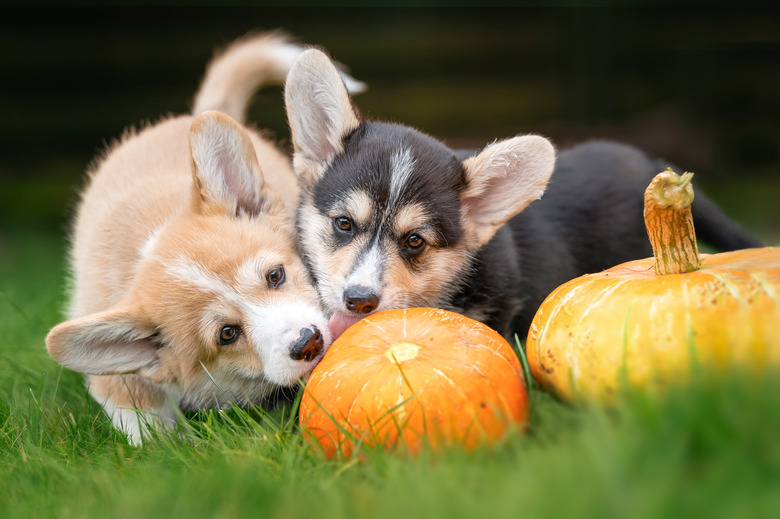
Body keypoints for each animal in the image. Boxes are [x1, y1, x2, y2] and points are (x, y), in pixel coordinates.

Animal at [45, 33, 366, 446]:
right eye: (227, 334)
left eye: (275, 275)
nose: (308, 341)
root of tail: (196, 112)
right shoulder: (117, 381)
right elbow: (143, 421)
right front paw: (173, 447)